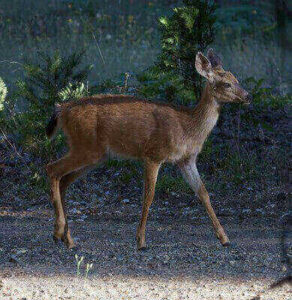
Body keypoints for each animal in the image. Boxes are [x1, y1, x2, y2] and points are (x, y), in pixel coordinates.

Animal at [45, 49, 251, 251]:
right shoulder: (153, 154)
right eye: (226, 84)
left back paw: (69, 240)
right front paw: (141, 241)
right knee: (52, 168)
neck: (187, 127)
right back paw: (57, 232)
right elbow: (149, 196)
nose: (248, 96)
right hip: (85, 146)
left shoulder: (186, 160)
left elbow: (203, 193)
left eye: (236, 78)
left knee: (64, 180)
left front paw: (224, 238)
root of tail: (61, 109)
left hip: (94, 155)